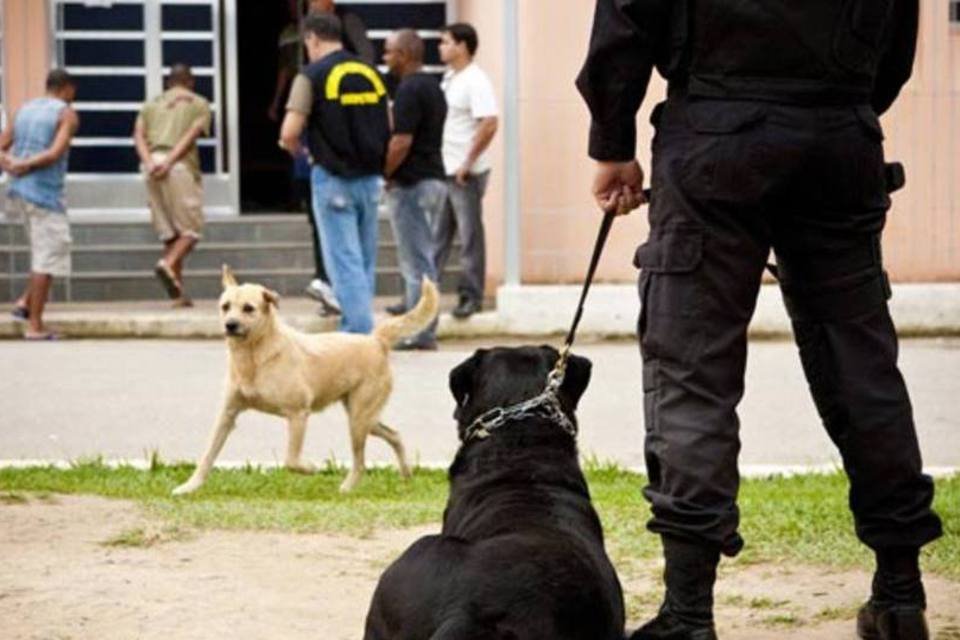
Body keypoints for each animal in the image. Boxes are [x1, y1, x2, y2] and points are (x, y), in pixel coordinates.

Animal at [172, 264, 438, 496]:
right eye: (225, 306)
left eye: (248, 308)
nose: (230, 325)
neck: (254, 358)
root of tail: (375, 340)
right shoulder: (227, 414)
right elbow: (207, 455)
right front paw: (189, 486)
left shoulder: (298, 414)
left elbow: (291, 460)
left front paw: (310, 468)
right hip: (364, 418)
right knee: (395, 435)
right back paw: (406, 475)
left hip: (359, 420)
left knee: (360, 461)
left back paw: (348, 487)